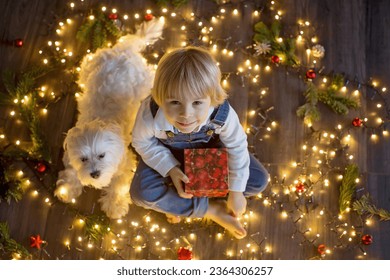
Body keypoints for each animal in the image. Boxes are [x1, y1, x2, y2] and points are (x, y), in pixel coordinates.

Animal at [54, 17, 165, 220]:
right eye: (83, 159)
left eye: (102, 155)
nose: (95, 174)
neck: (98, 121)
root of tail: (125, 49)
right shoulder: (71, 156)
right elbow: (72, 171)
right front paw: (67, 188)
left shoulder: (124, 162)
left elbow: (119, 185)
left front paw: (115, 205)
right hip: (88, 65)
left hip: (146, 80)